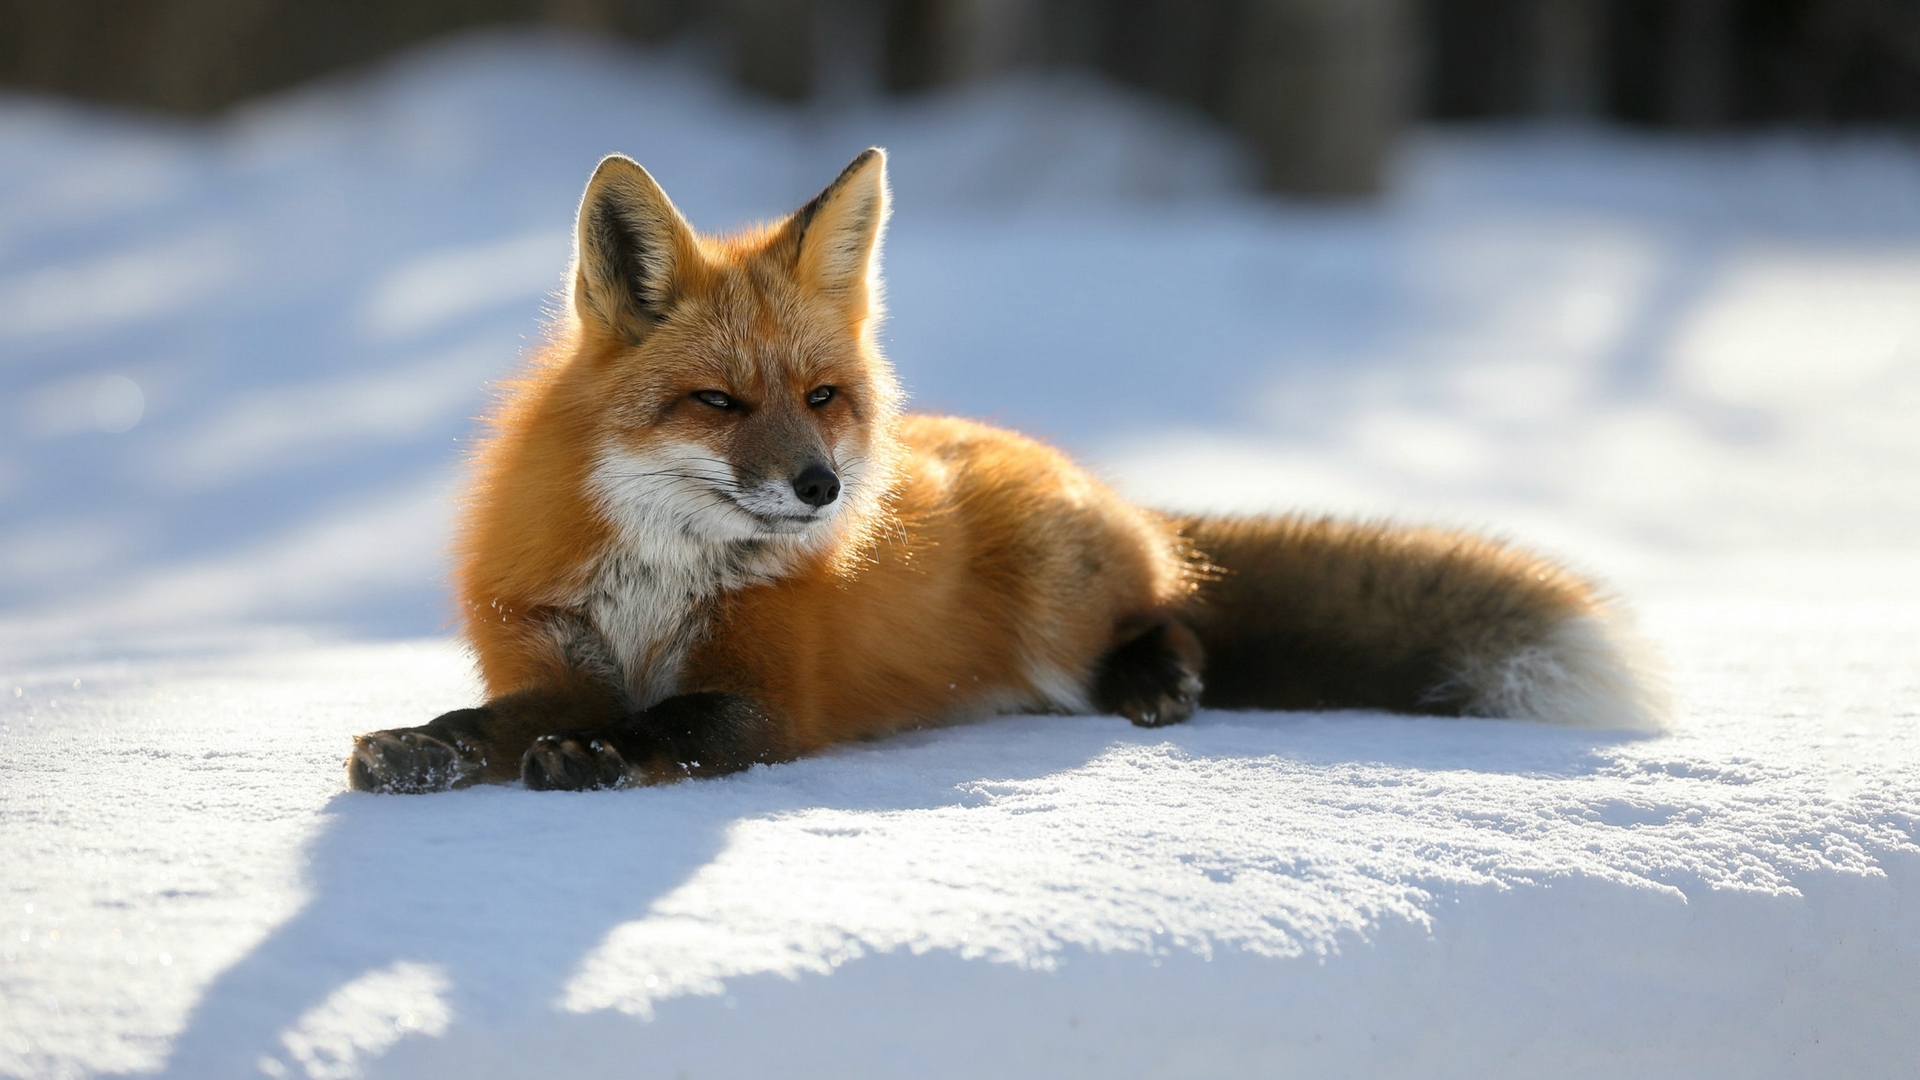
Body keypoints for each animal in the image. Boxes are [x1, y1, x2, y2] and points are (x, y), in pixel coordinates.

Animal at [346, 147, 1666, 795]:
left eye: (821, 399)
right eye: (716, 402)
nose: (823, 489)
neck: (657, 585)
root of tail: (1102, 486)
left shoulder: (767, 695)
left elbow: (671, 720)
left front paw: (605, 757)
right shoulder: (553, 662)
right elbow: (487, 719)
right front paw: (423, 745)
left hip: (1060, 603)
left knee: (1177, 613)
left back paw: (1158, 680)